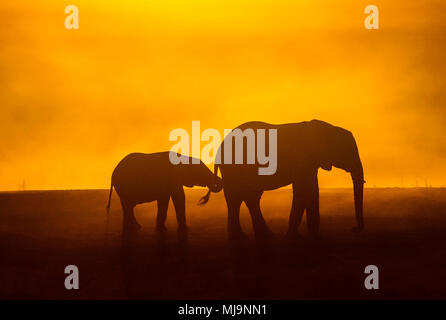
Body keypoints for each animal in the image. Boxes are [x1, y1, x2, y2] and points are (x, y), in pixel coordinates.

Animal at [200, 120, 364, 240]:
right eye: (347, 152)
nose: (354, 229)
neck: (327, 128)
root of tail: (219, 150)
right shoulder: (302, 160)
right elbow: (304, 190)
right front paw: (299, 237)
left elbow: (309, 189)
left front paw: (306, 236)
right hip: (234, 169)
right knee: (238, 198)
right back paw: (243, 238)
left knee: (246, 198)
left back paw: (261, 236)